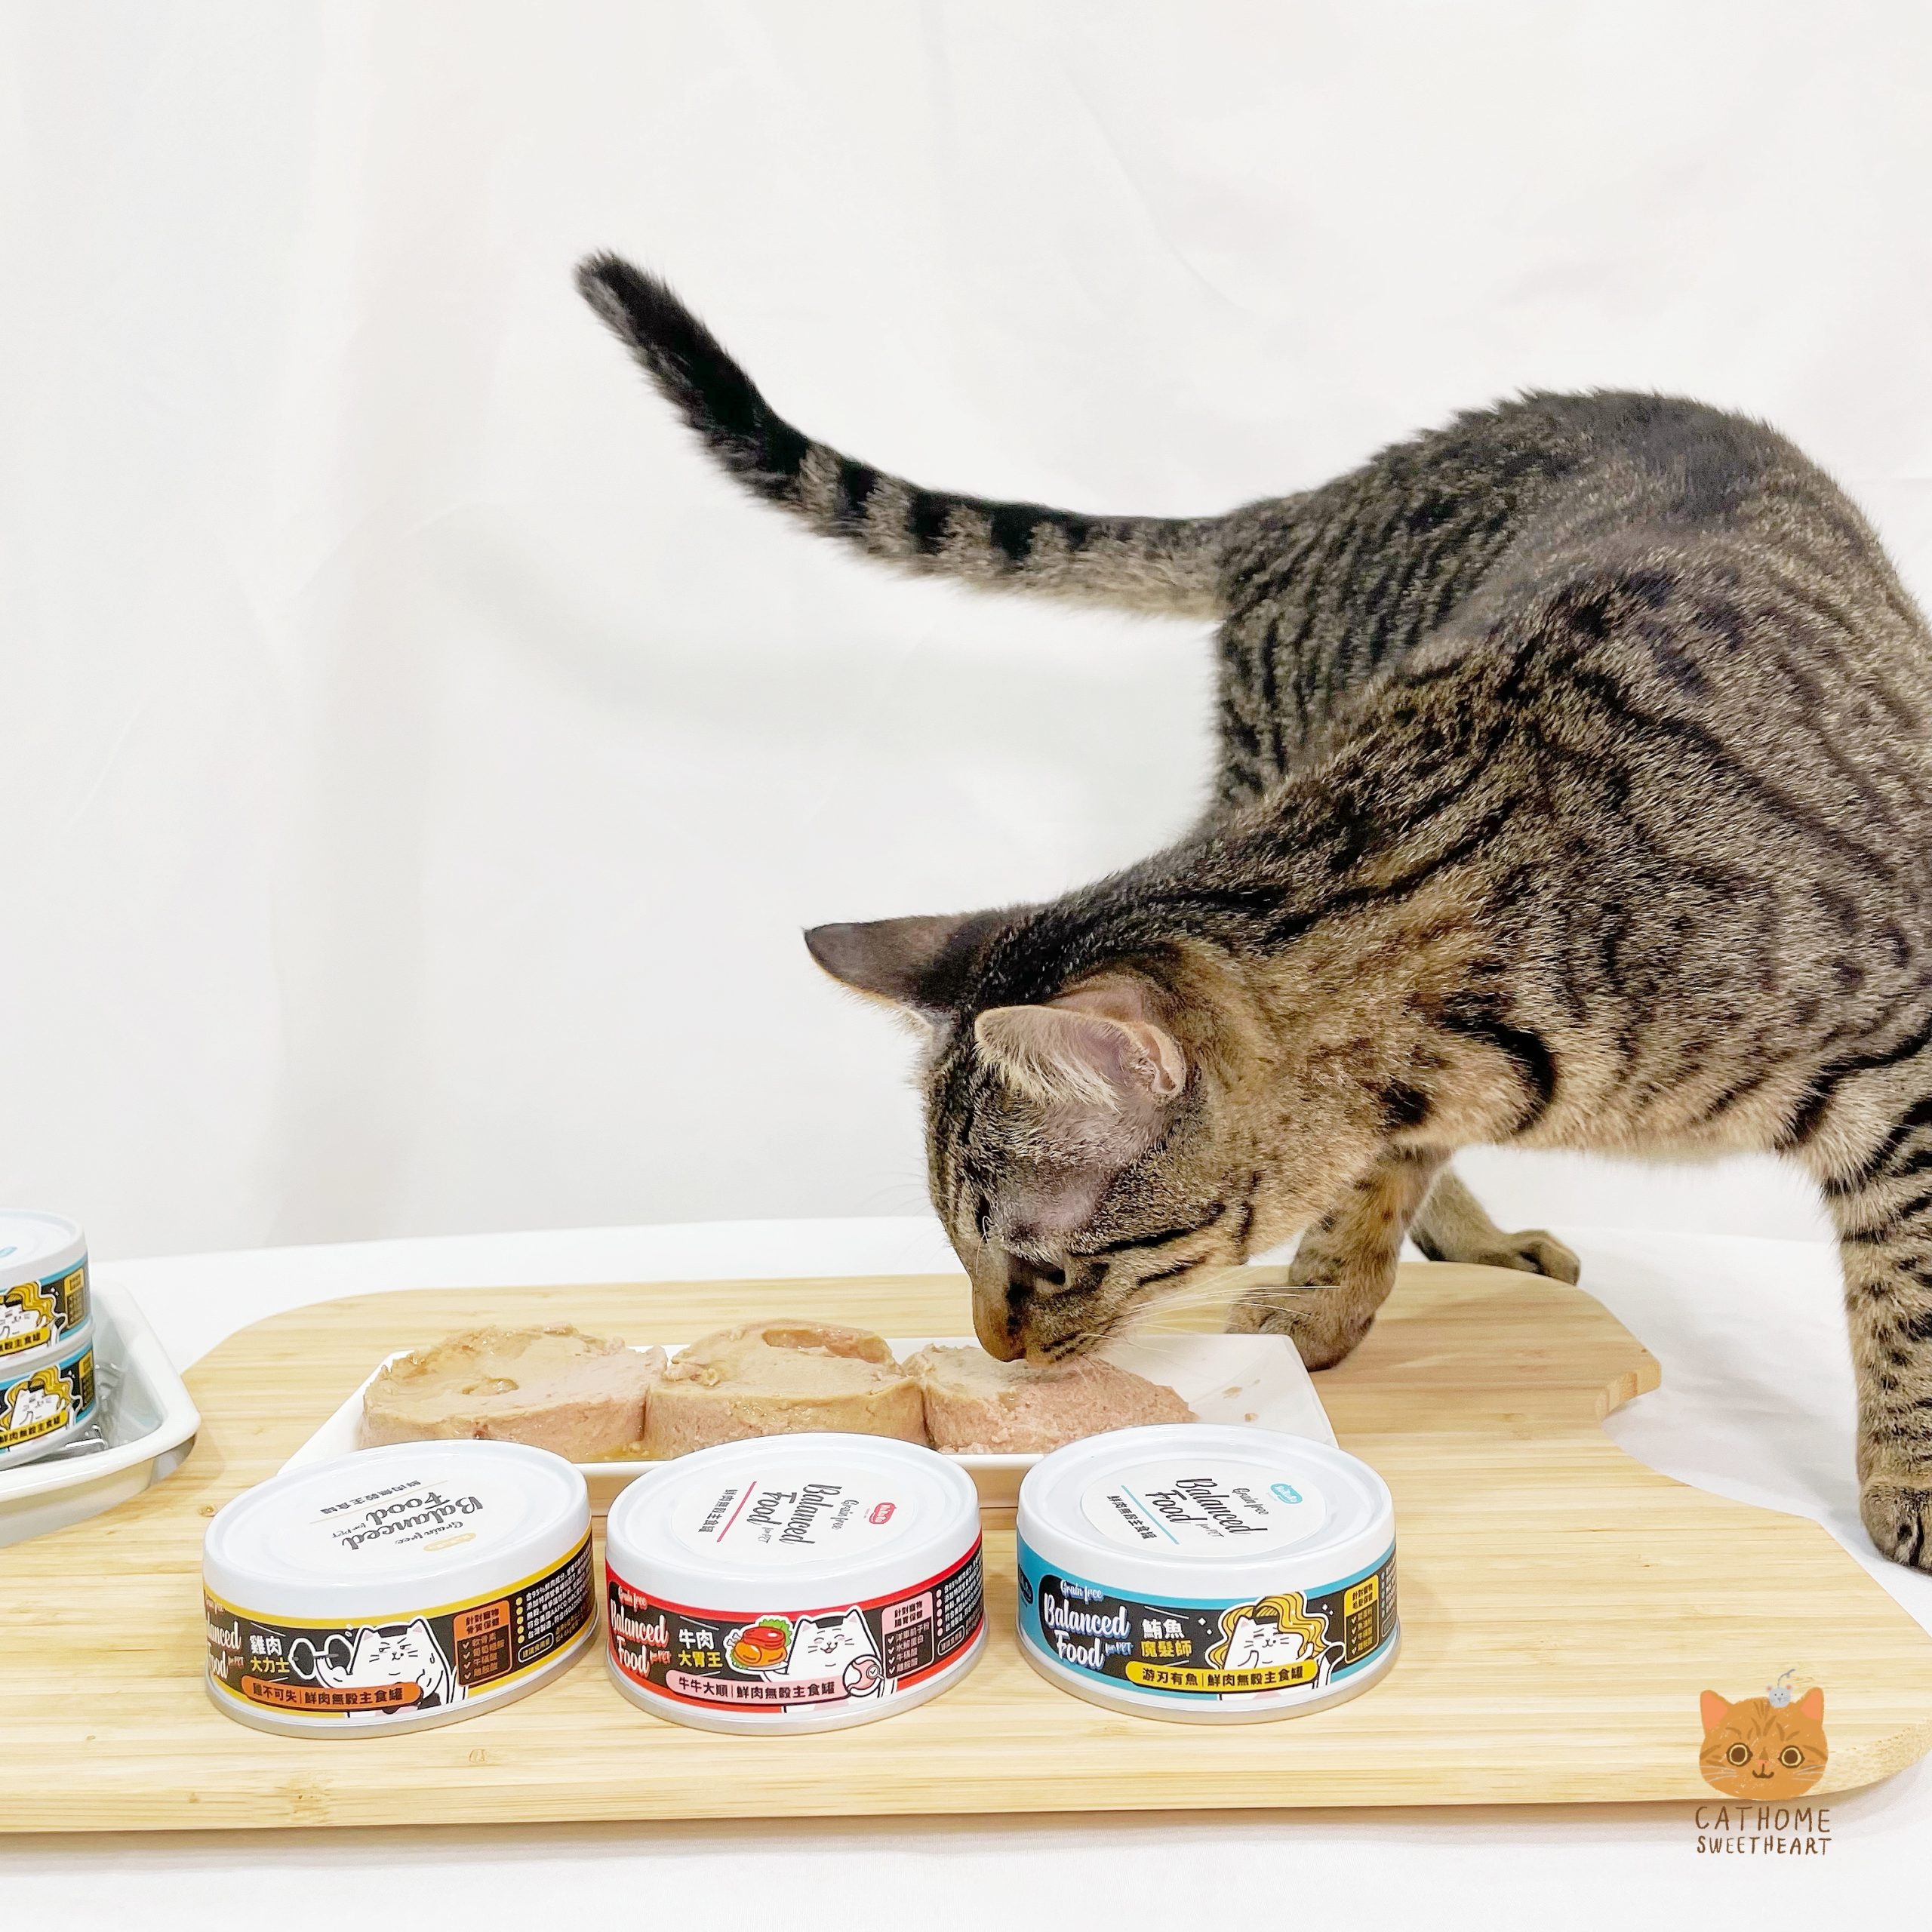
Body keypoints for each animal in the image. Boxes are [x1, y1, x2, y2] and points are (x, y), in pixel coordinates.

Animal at [580, 255, 1932, 1571]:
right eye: (957, 1247)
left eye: (1042, 1263)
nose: (998, 1350)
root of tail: (1319, 501)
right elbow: (1373, 1175)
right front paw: (1326, 1301)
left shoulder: (1908, 1061)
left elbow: (1907, 1292)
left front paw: (1913, 1475)